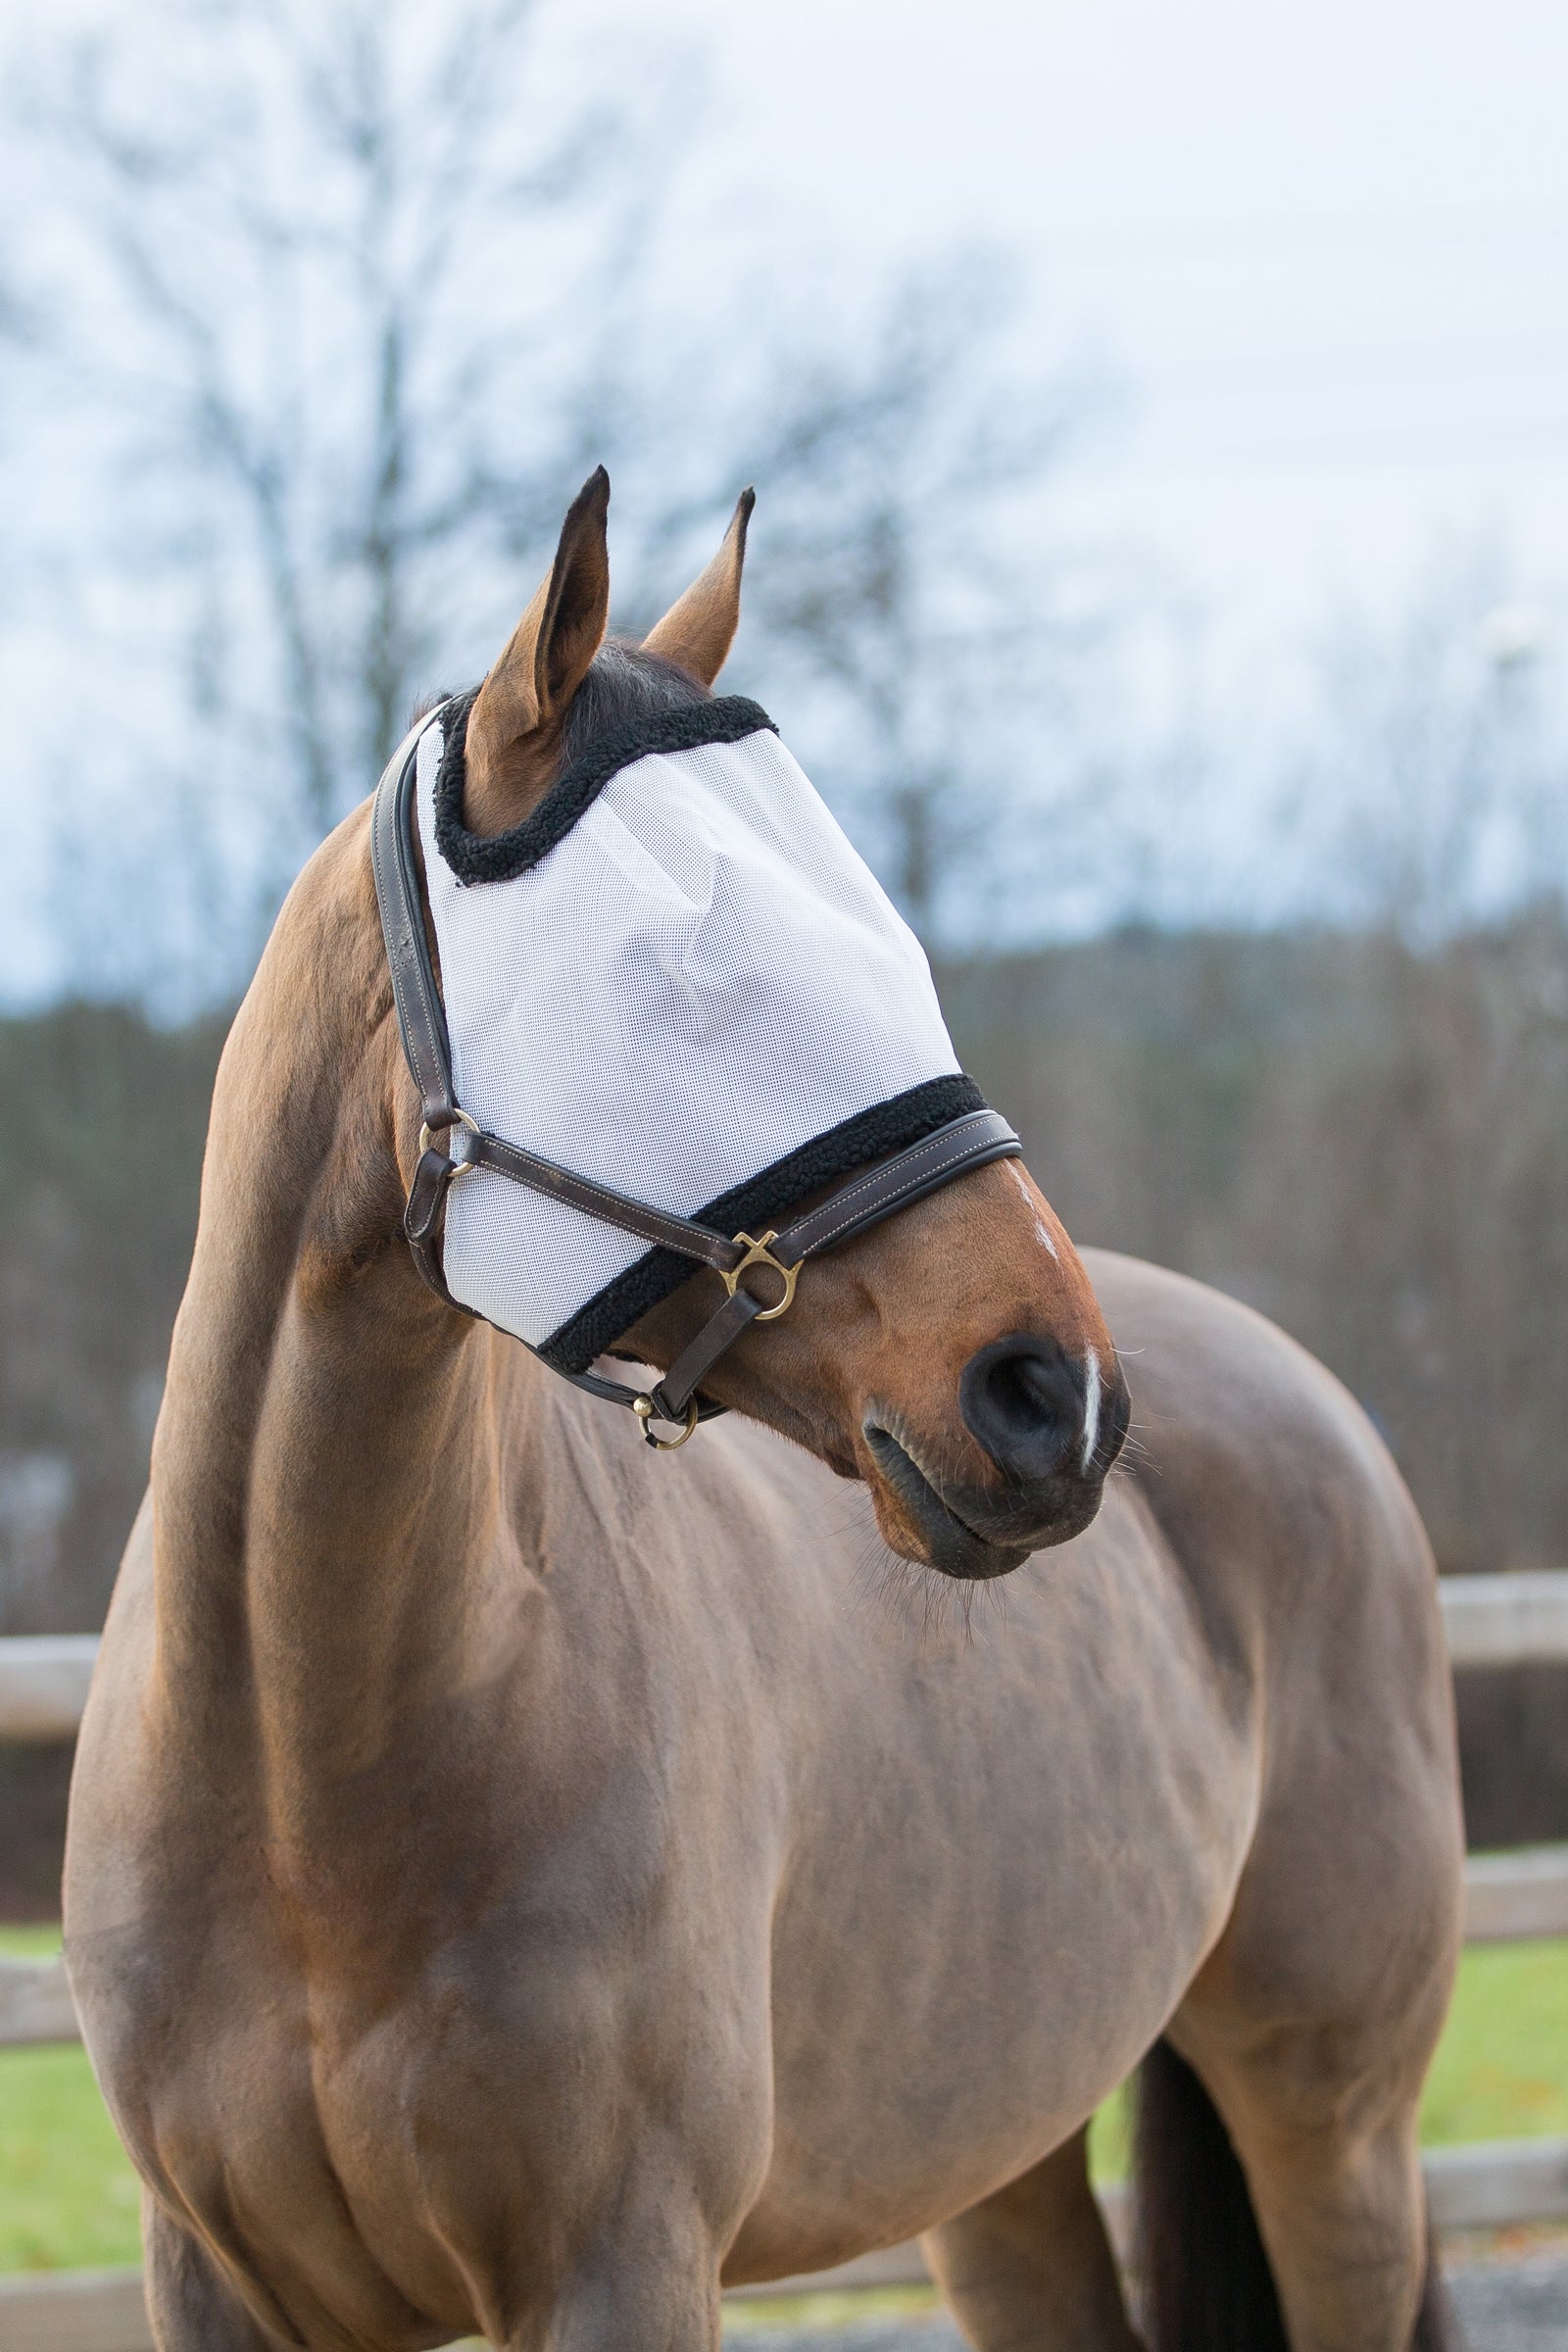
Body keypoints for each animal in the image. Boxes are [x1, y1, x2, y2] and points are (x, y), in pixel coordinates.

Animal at [65, 468, 1464, 2352]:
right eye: (685, 973)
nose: (1058, 1398)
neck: (304, 1790)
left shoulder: (624, 2266)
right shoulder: (218, 2282)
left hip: (1338, 2135)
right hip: (995, 2158)